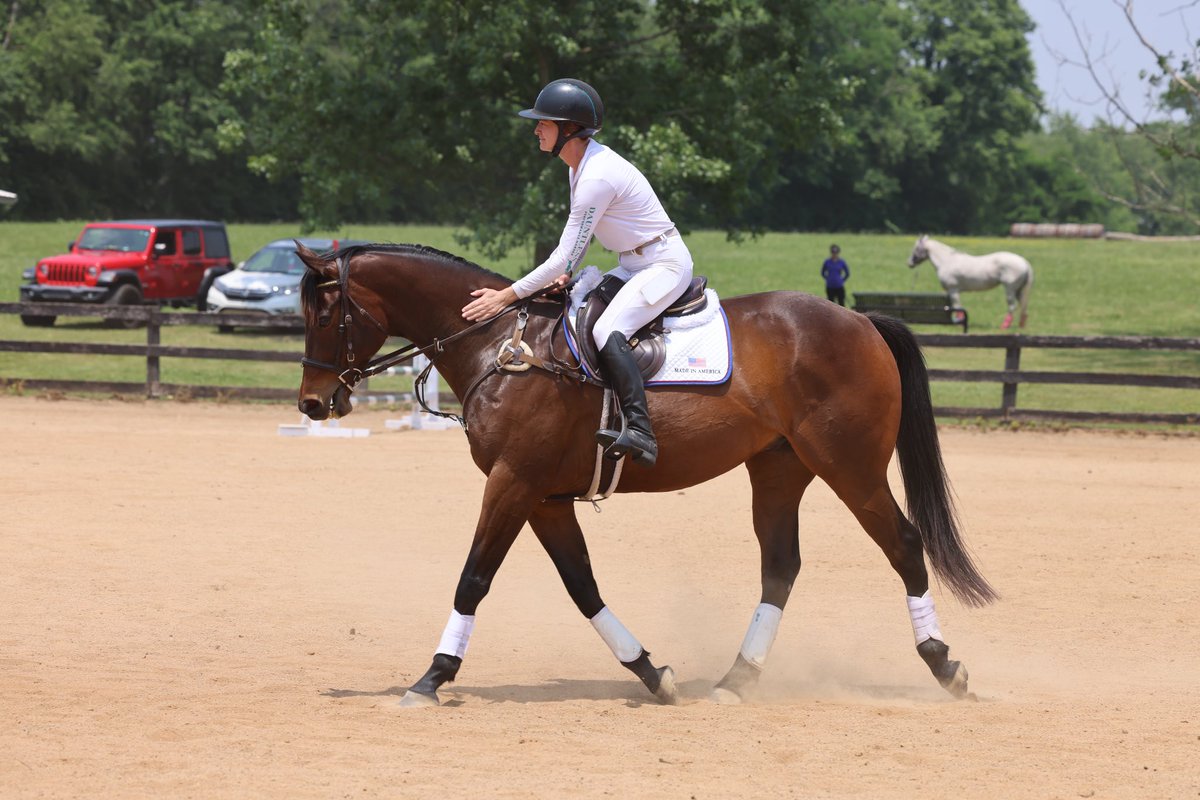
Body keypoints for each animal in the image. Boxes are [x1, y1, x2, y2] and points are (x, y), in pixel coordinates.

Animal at [295, 242, 997, 708]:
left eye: (324, 316)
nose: (311, 404)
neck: (499, 346)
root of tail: (859, 320)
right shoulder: (545, 498)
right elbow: (582, 587)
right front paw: (650, 673)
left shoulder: (513, 483)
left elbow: (474, 578)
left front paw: (433, 677)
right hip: (778, 471)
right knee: (780, 566)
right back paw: (736, 680)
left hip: (849, 467)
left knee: (904, 545)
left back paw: (945, 666)